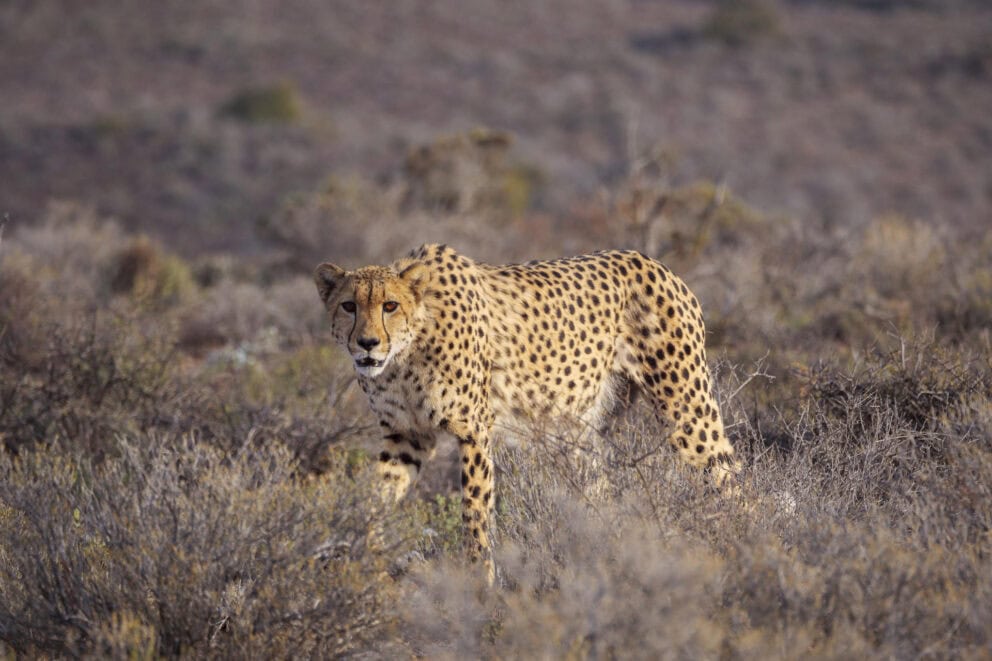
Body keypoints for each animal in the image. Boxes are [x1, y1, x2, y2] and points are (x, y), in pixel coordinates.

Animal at [314, 244, 738, 584]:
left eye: (390, 305)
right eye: (349, 306)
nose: (367, 343)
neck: (406, 352)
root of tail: (651, 261)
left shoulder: (473, 430)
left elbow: (475, 512)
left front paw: (482, 585)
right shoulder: (406, 435)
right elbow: (375, 498)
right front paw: (365, 561)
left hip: (685, 407)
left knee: (726, 474)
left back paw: (743, 553)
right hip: (583, 429)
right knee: (599, 492)